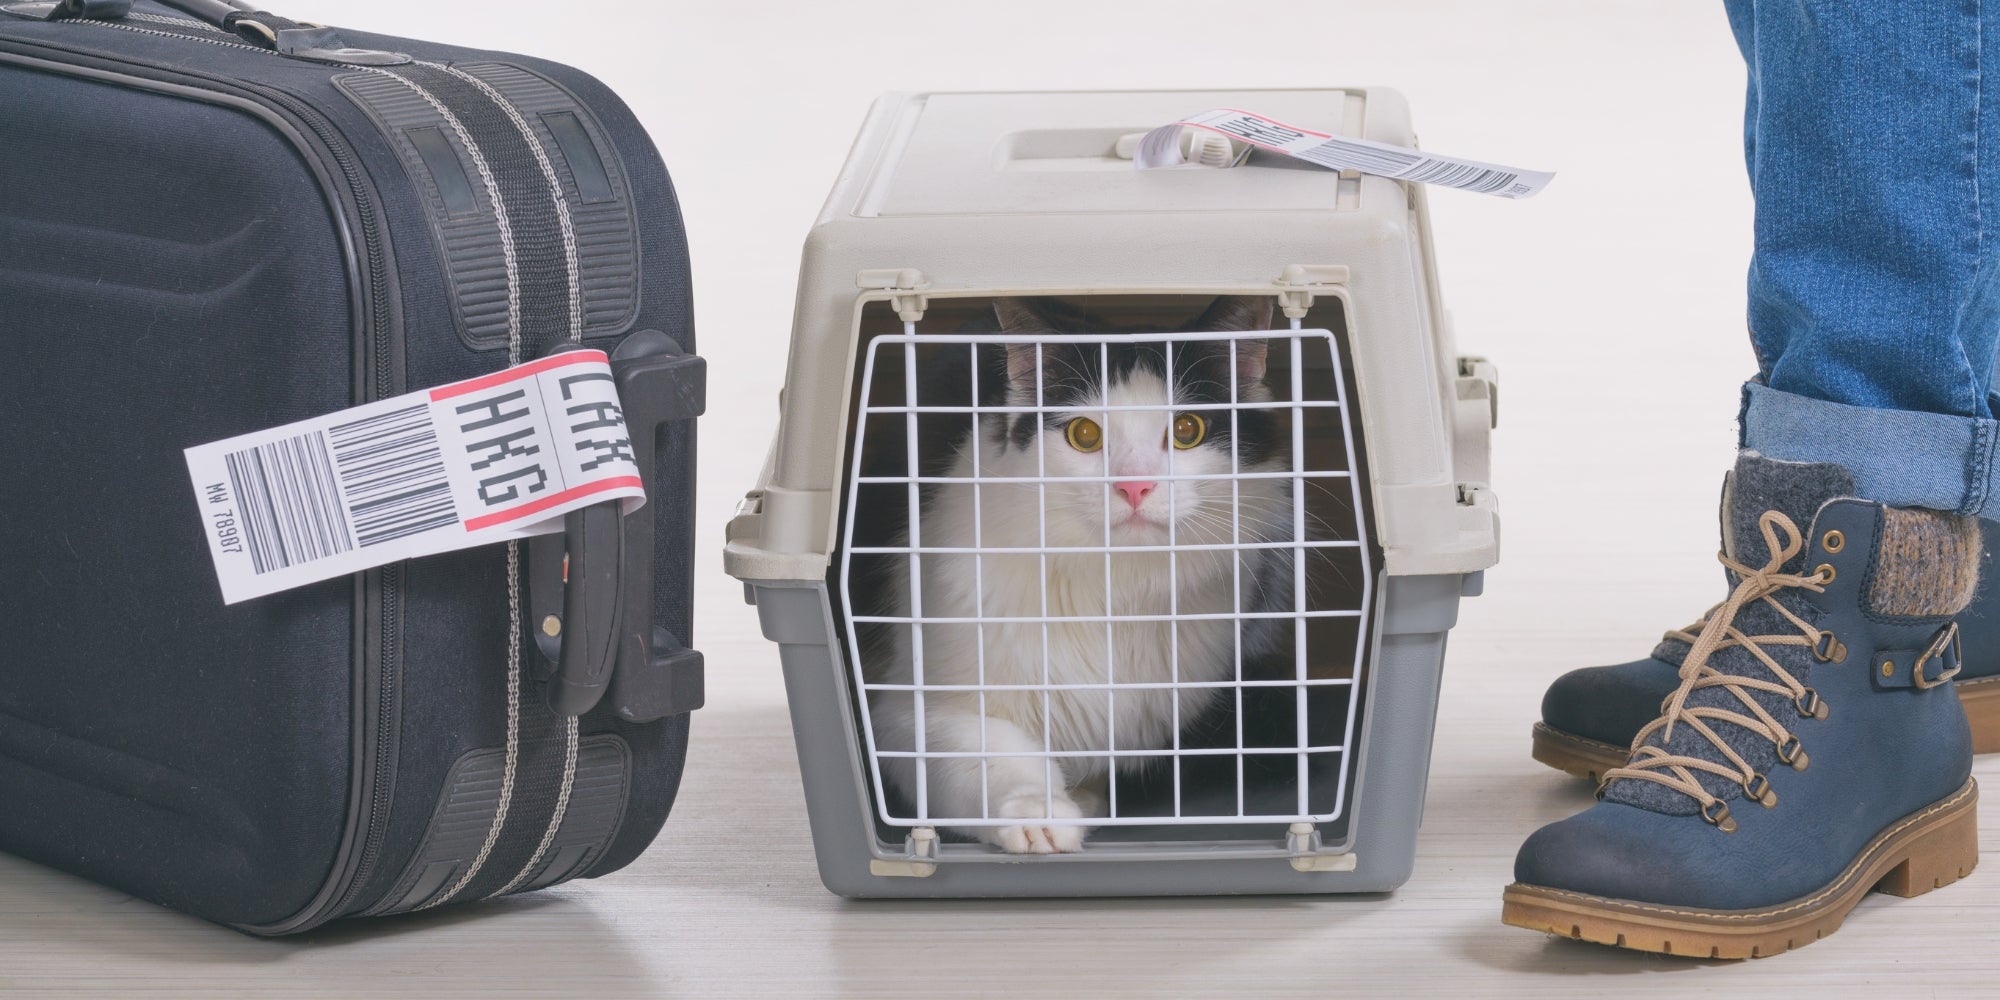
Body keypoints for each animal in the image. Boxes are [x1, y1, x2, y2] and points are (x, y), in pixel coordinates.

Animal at [868, 294, 1288, 852]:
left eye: (1186, 431)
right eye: (1085, 435)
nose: (1135, 486)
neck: (1116, 590)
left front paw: (1085, 802)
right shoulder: (910, 712)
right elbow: (992, 755)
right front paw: (1039, 815)